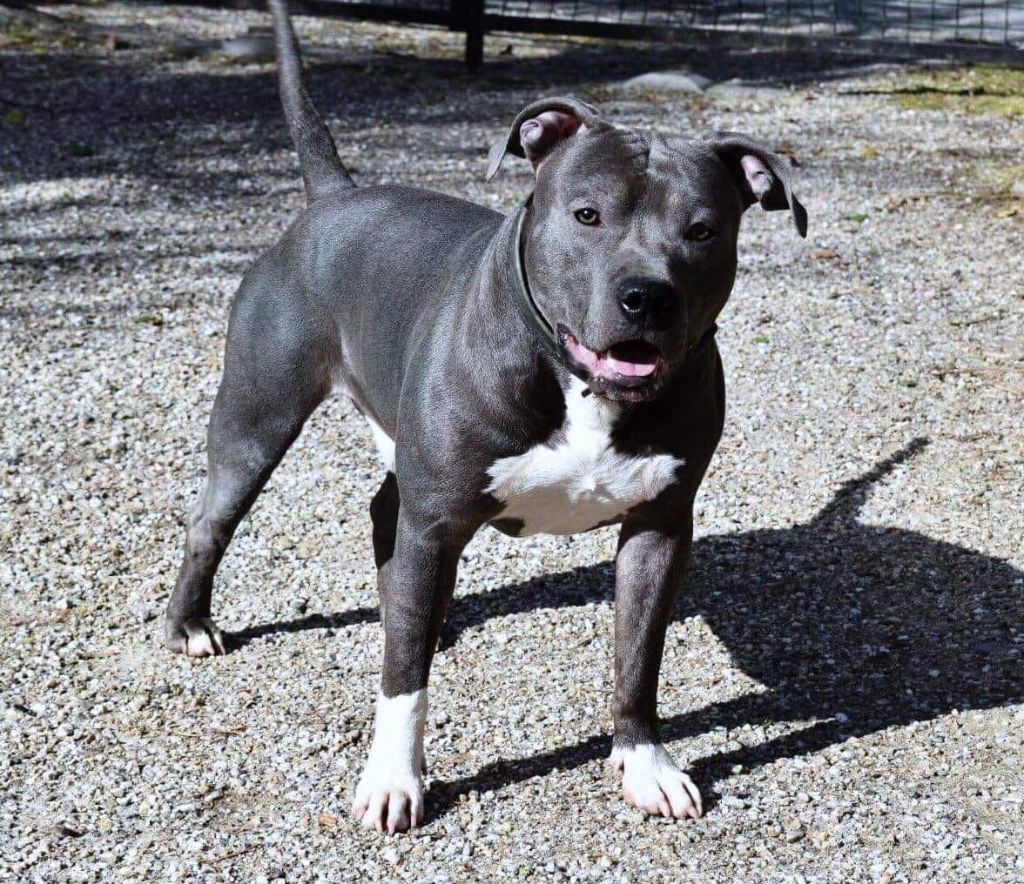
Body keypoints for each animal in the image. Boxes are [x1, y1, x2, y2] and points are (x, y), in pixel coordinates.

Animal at [163, 0, 807, 833]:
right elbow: (403, 681)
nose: (647, 296)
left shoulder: (660, 527)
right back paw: (192, 623)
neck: (581, 386)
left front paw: (644, 761)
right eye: (587, 214)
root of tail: (333, 195)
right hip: (256, 419)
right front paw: (393, 778)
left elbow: (638, 657)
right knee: (213, 520)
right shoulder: (439, 515)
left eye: (703, 229)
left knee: (386, 517)